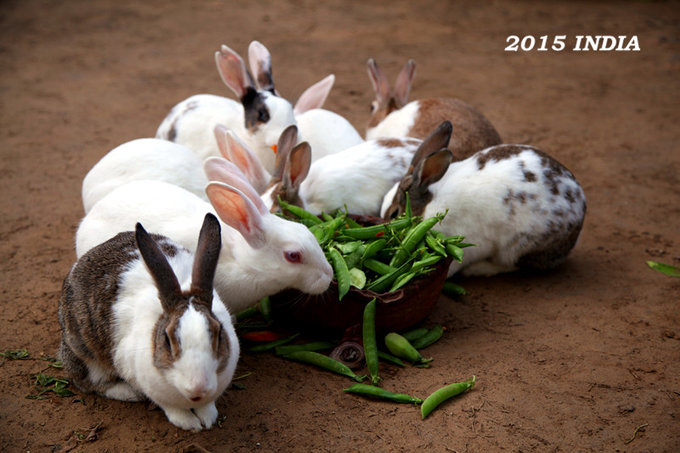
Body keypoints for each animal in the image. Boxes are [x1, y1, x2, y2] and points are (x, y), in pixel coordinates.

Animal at [380, 120, 588, 276]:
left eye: (394, 214)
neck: (428, 205)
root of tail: (581, 209)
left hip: (519, 247)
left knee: (511, 265)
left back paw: (478, 270)